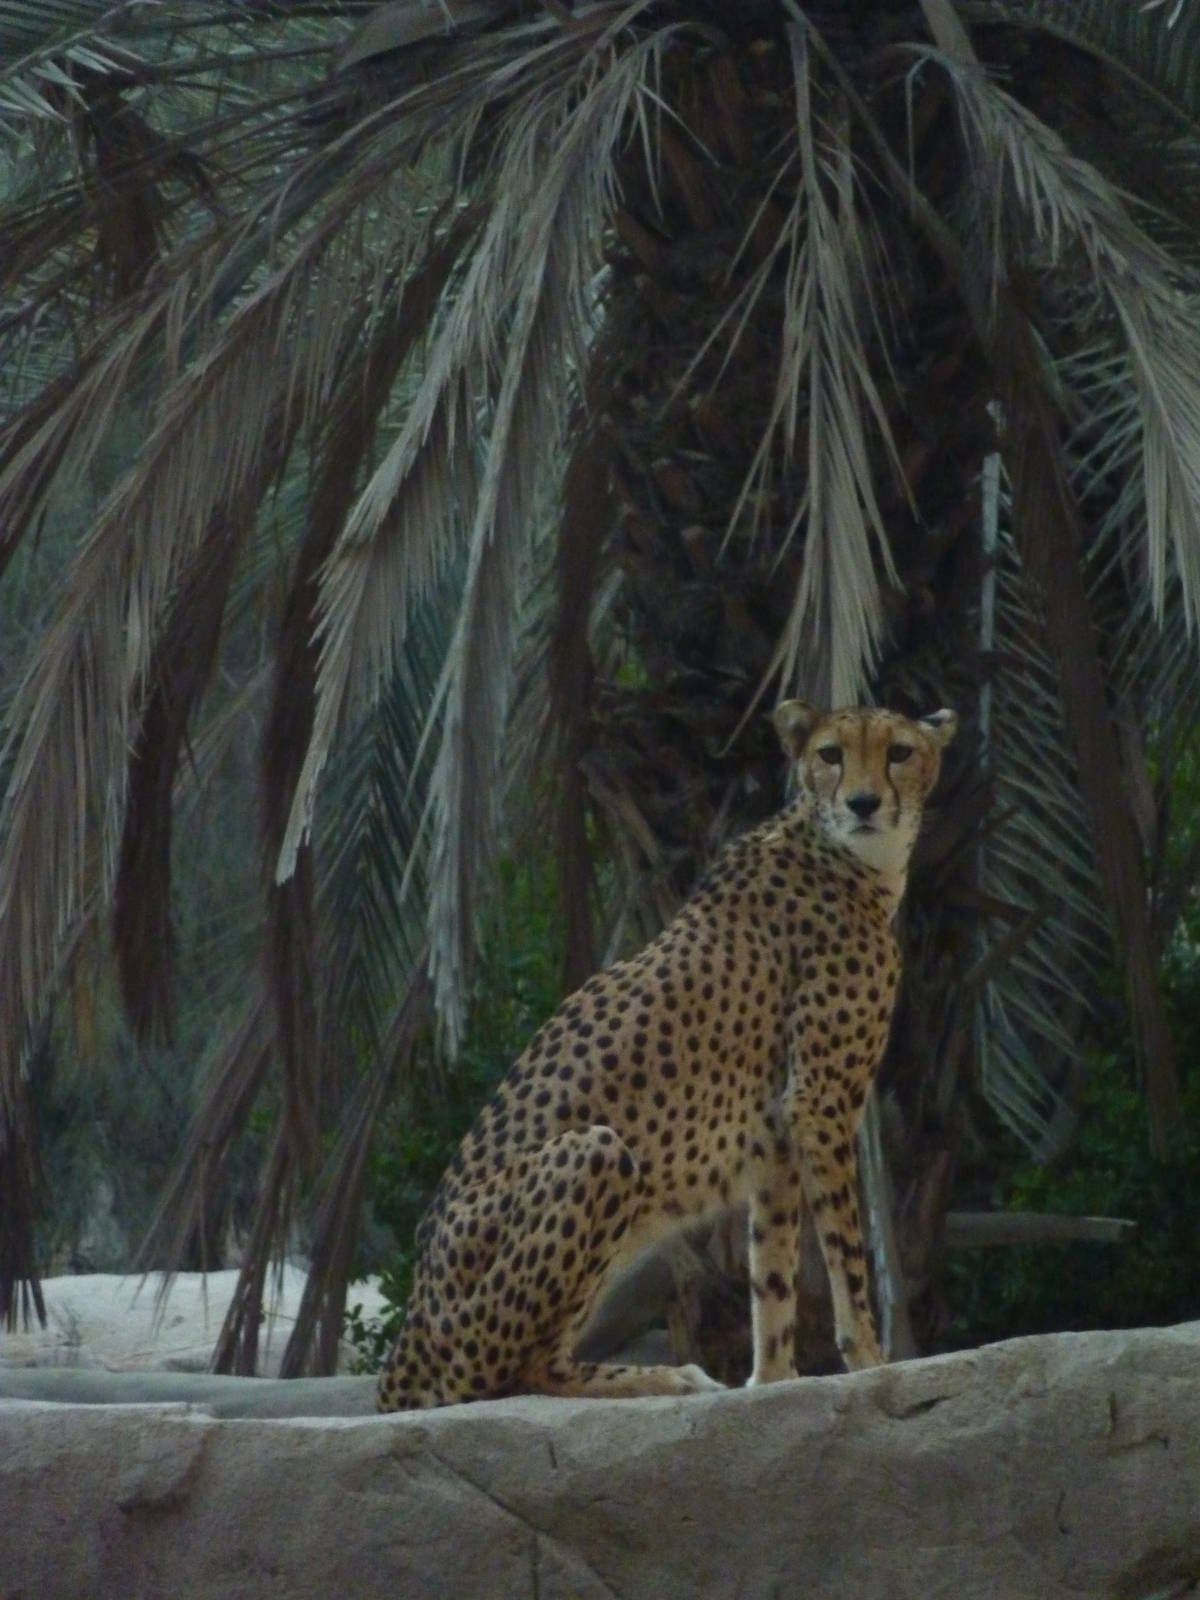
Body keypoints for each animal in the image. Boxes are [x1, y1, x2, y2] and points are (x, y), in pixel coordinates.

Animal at [377, 699, 956, 1409]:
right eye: (831, 754)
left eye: (899, 752)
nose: (865, 801)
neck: (847, 854)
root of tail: (408, 1335)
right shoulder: (819, 1103)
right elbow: (847, 1255)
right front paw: (872, 1360)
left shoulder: (777, 1139)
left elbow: (773, 1275)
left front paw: (773, 1381)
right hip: (592, 1153)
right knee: (512, 1373)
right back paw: (667, 1375)